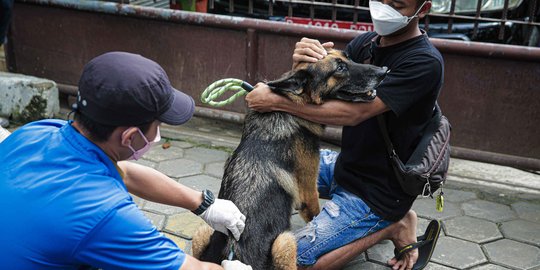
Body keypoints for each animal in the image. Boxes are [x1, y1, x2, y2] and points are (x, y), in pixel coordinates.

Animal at [192, 49, 386, 268]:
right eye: (340, 68)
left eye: (348, 57)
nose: (384, 71)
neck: (286, 111)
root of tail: (231, 257)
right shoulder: (309, 191)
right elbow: (314, 216)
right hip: (285, 241)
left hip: (203, 232)